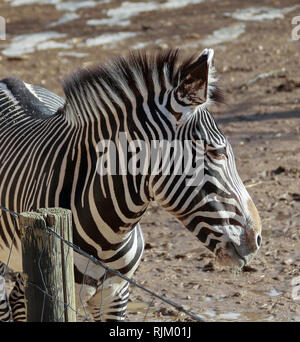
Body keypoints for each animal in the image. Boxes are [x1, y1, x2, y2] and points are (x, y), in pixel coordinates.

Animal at [0, 48, 262, 320]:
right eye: (217, 152)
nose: (256, 240)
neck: (107, 238)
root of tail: (7, 80)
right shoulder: (56, 294)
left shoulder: (116, 294)